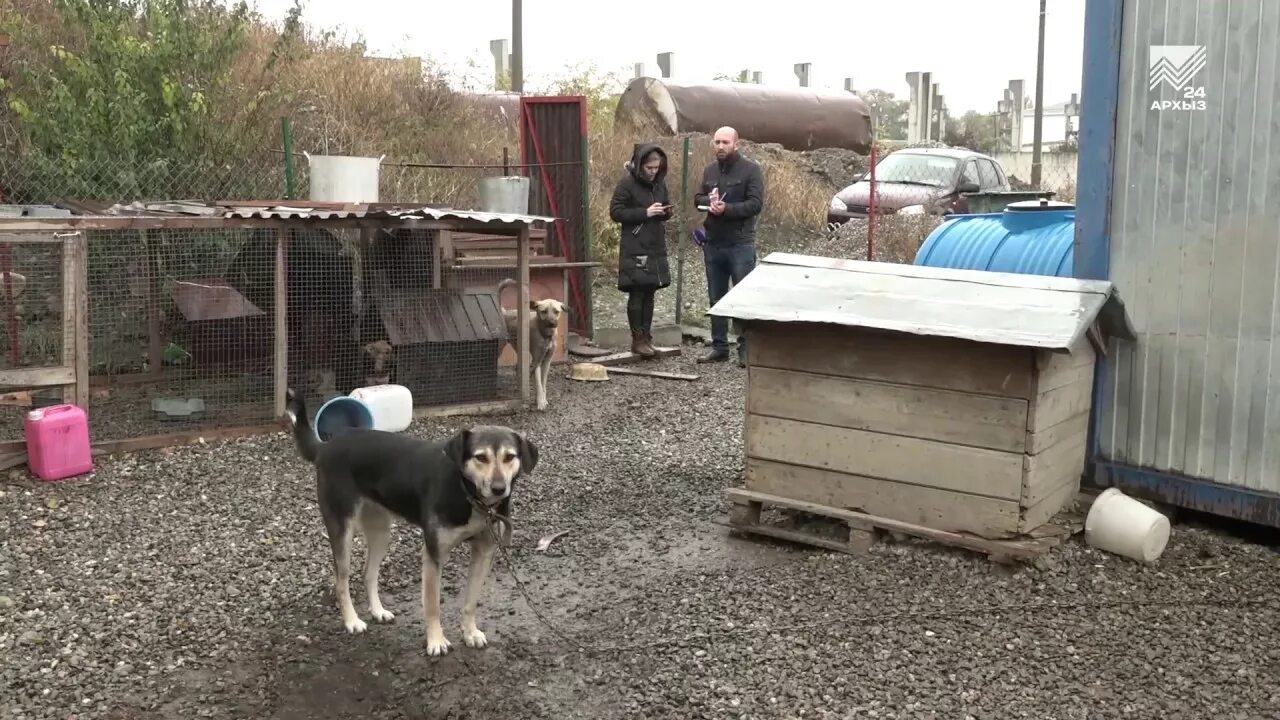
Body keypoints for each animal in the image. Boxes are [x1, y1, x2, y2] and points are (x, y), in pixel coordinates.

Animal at [282, 389, 537, 653]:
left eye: (510, 457)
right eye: (481, 458)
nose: (499, 488)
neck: (467, 492)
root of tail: (326, 446)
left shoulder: (484, 551)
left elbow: (471, 601)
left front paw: (470, 633)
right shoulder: (434, 554)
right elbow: (433, 605)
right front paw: (436, 641)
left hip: (381, 531)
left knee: (368, 573)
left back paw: (378, 611)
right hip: (342, 528)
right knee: (341, 579)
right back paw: (352, 621)